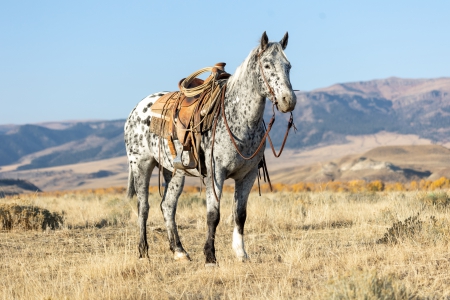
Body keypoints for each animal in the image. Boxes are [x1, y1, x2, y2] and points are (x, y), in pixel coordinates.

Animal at [125, 31, 298, 266]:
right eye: (267, 65)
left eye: (288, 66)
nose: (288, 101)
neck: (239, 119)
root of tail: (137, 108)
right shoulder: (216, 173)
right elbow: (213, 215)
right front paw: (210, 256)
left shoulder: (248, 175)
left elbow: (240, 214)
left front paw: (241, 253)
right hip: (141, 164)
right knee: (143, 207)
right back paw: (143, 252)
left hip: (175, 172)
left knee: (167, 206)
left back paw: (179, 251)